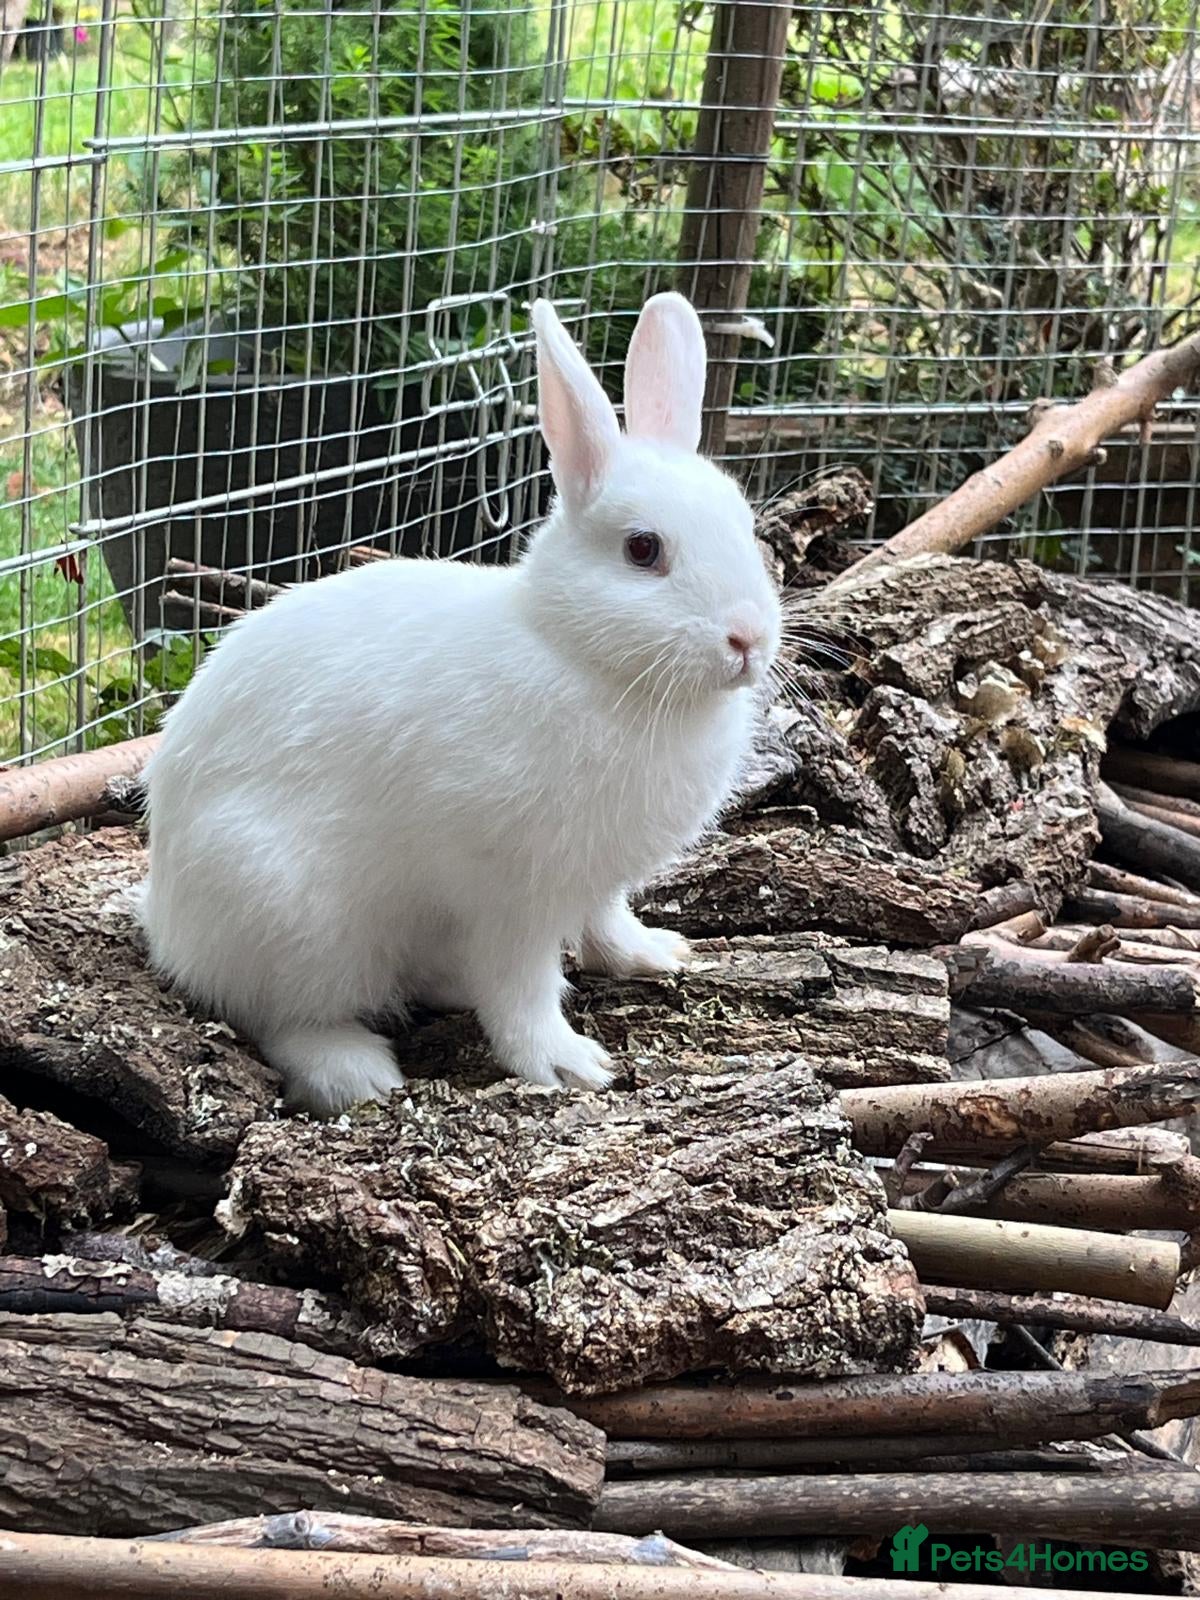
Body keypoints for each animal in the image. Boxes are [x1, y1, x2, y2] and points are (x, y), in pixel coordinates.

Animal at [139, 292, 782, 1115]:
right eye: (643, 550)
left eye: (745, 525)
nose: (748, 638)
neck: (583, 656)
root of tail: (167, 923)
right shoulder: (512, 893)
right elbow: (521, 987)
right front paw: (567, 1065)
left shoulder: (596, 880)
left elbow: (605, 923)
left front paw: (654, 956)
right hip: (297, 917)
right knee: (280, 1015)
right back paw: (357, 1070)